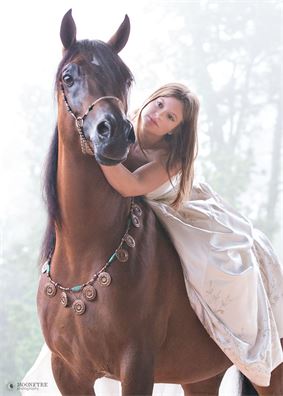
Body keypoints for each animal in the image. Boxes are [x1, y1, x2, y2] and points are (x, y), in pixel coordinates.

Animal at [36, 9, 282, 396]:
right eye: (68, 76)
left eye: (125, 78)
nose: (114, 133)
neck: (84, 256)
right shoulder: (68, 372)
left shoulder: (137, 365)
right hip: (200, 377)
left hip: (271, 373)